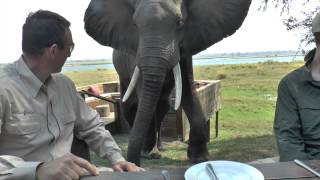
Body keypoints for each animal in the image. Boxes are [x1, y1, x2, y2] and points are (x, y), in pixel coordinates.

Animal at [84, 0, 251, 166]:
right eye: (135, 25)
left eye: (180, 23)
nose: (134, 163)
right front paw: (147, 154)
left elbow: (188, 91)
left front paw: (199, 158)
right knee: (129, 106)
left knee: (162, 107)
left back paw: (160, 148)